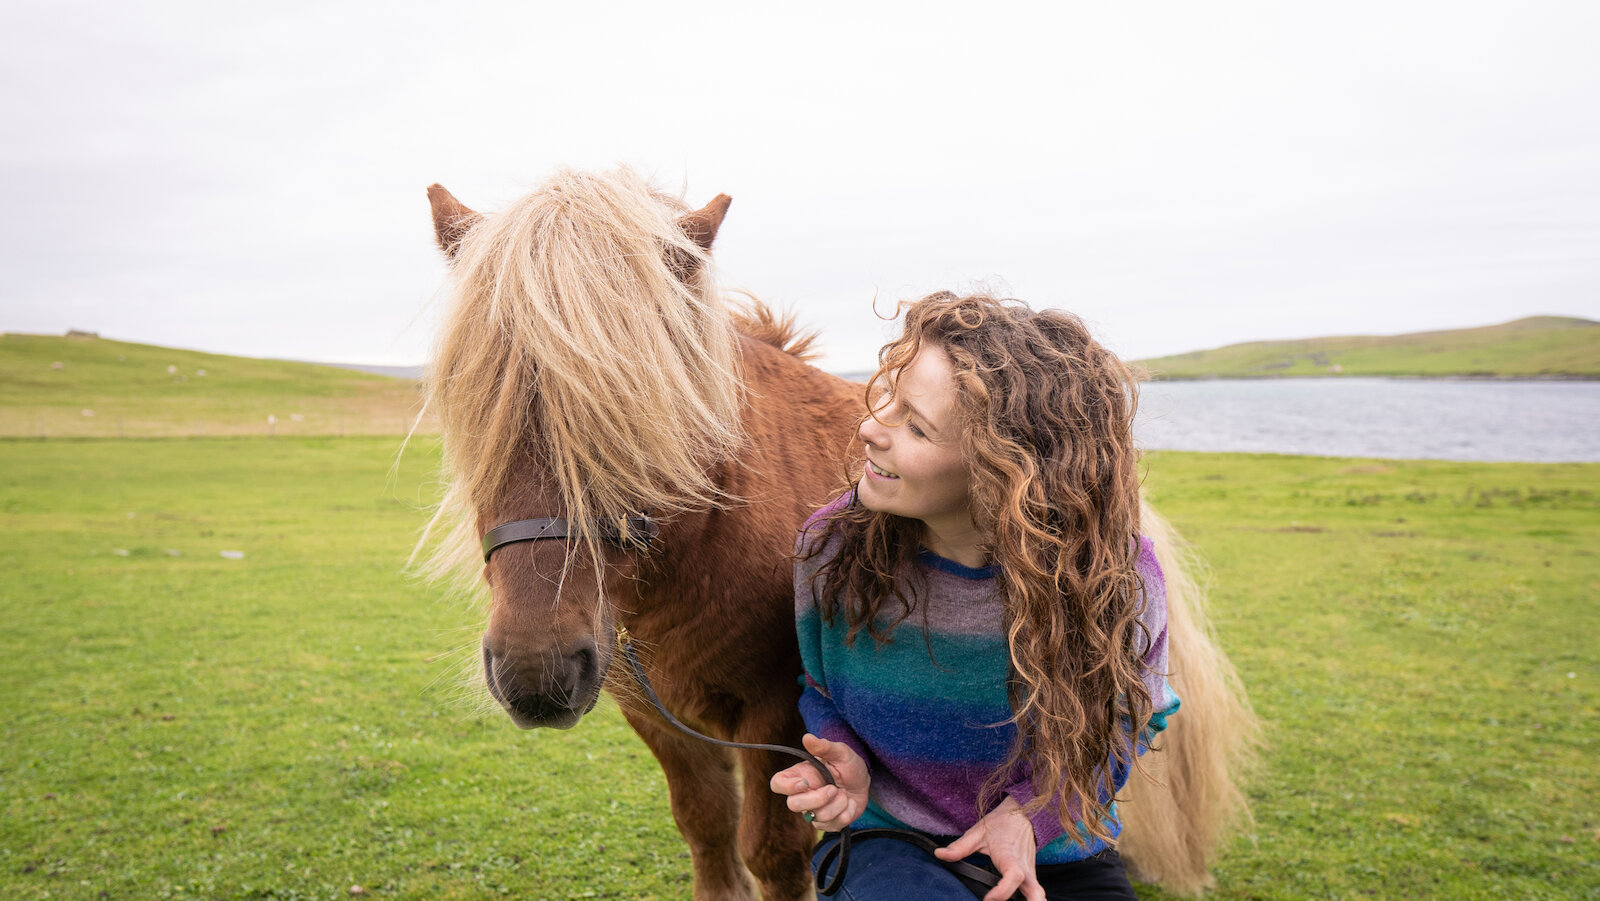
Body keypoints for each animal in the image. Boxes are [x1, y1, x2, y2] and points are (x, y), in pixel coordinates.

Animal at [419, 165, 1254, 896]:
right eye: (474, 407)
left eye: (647, 409)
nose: (537, 669)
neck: (699, 553)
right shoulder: (656, 716)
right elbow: (707, 831)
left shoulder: (777, 712)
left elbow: (773, 850)